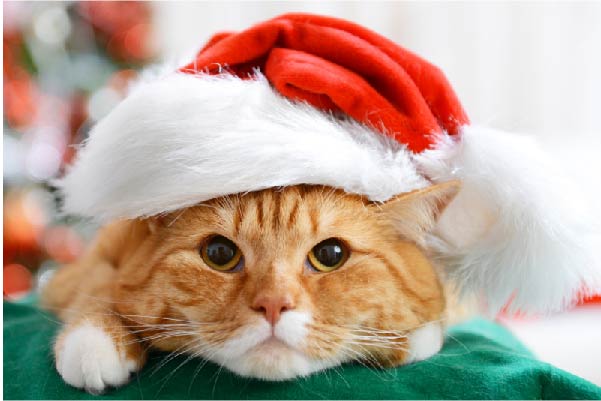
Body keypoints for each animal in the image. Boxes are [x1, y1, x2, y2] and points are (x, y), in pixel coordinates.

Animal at [41, 182, 460, 394]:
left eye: (331, 254)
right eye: (219, 253)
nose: (273, 304)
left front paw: (411, 335)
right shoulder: (83, 268)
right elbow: (96, 287)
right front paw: (95, 340)